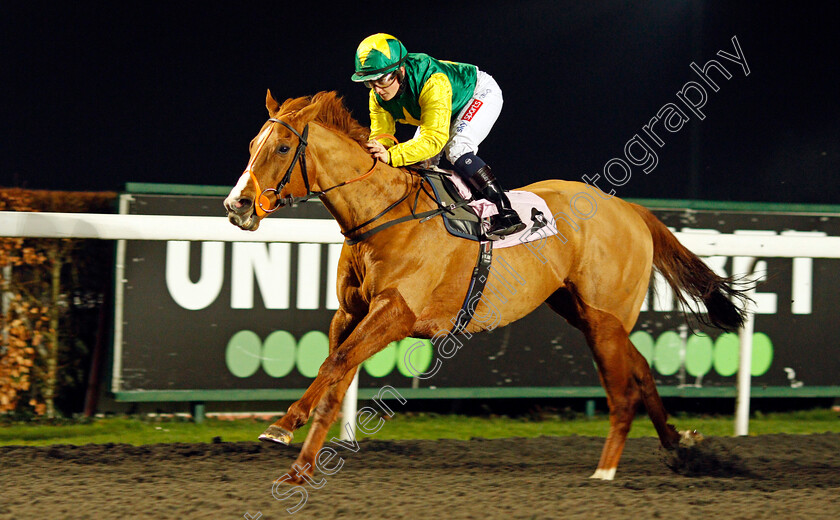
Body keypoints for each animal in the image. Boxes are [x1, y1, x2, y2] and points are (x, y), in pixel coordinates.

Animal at [223, 89, 748, 484]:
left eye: (282, 148)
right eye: (251, 145)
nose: (236, 206)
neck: (382, 215)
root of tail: (630, 209)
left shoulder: (395, 314)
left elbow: (333, 366)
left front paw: (282, 426)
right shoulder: (350, 313)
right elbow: (335, 381)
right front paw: (301, 469)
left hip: (604, 318)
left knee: (622, 393)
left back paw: (605, 471)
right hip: (586, 312)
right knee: (640, 370)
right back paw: (680, 446)